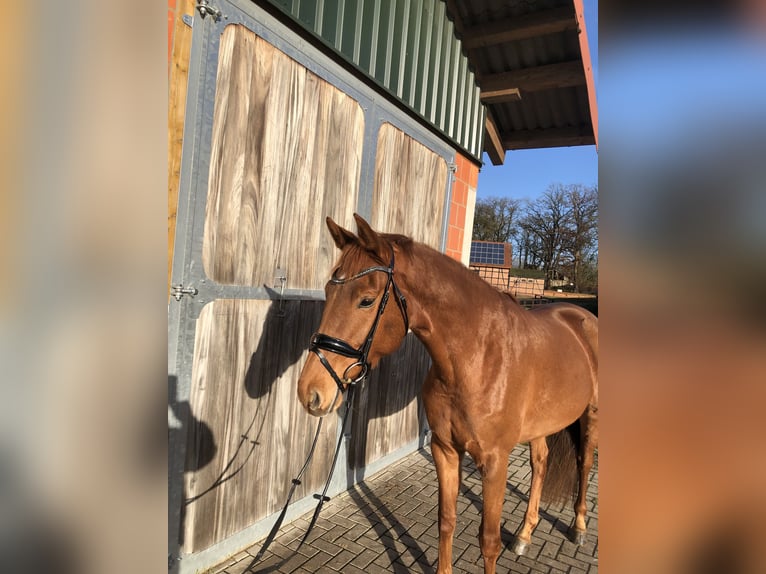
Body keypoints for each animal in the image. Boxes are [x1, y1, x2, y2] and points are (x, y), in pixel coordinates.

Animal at [296, 217, 596, 574]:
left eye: (366, 300)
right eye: (329, 291)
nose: (310, 391)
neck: (477, 359)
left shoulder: (495, 462)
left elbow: (489, 540)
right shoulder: (445, 450)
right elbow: (446, 520)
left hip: (591, 417)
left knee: (584, 463)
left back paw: (579, 528)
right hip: (540, 427)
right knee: (540, 462)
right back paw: (524, 534)